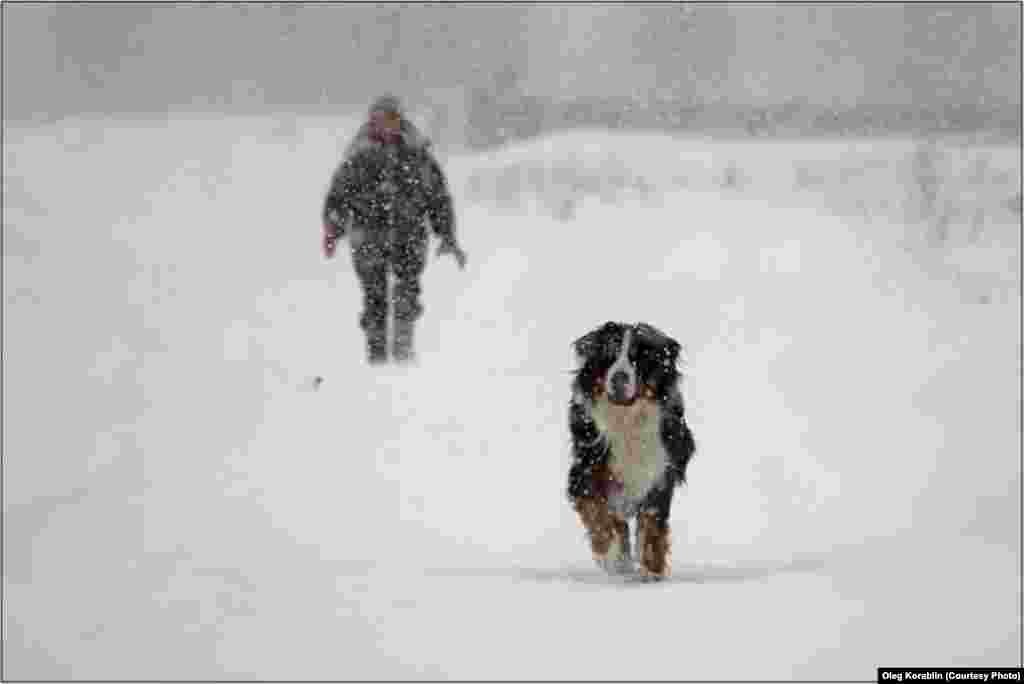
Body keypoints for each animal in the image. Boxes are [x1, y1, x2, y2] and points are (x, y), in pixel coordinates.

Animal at [569, 321, 696, 577]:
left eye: (639, 358)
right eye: (609, 354)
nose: (619, 378)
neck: (626, 418)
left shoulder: (660, 471)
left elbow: (652, 523)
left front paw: (651, 570)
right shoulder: (584, 472)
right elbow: (599, 515)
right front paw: (612, 558)